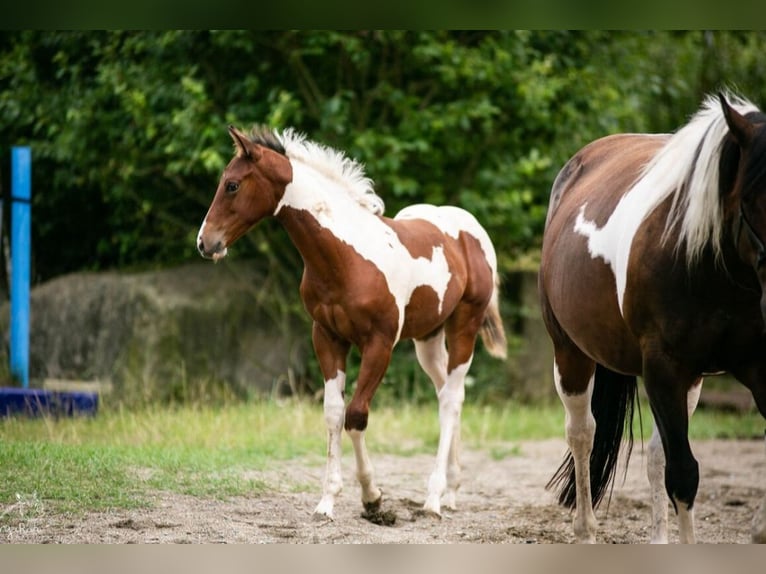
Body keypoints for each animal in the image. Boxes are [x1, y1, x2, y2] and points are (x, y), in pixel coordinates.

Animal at [201, 126, 508, 520]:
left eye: (233, 185)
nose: (206, 243)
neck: (346, 258)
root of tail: (473, 229)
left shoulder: (379, 344)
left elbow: (357, 415)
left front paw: (373, 498)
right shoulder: (327, 337)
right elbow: (334, 414)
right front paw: (328, 501)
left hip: (464, 327)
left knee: (450, 400)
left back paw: (433, 500)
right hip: (428, 338)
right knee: (448, 393)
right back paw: (451, 491)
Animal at [540, 93, 766, 544]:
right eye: (751, 196)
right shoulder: (664, 368)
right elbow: (684, 475)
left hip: (689, 381)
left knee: (654, 456)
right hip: (571, 355)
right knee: (583, 434)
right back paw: (586, 529)